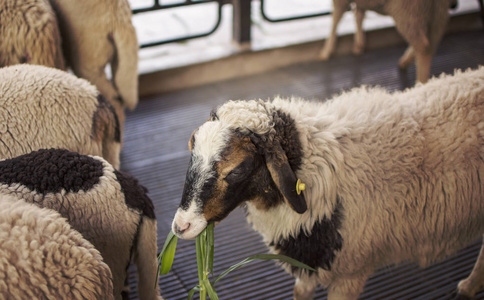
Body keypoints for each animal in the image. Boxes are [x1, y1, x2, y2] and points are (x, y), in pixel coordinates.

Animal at [172, 66, 484, 300]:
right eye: (191, 150)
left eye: (236, 169)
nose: (180, 226)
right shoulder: (308, 263)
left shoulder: (351, 271)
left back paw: (467, 288)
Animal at [320, 0, 456, 83]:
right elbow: (359, 14)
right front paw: (359, 44)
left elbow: (335, 19)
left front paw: (326, 51)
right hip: (438, 12)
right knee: (432, 42)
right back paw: (406, 62)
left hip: (408, 11)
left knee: (423, 47)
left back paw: (420, 83)